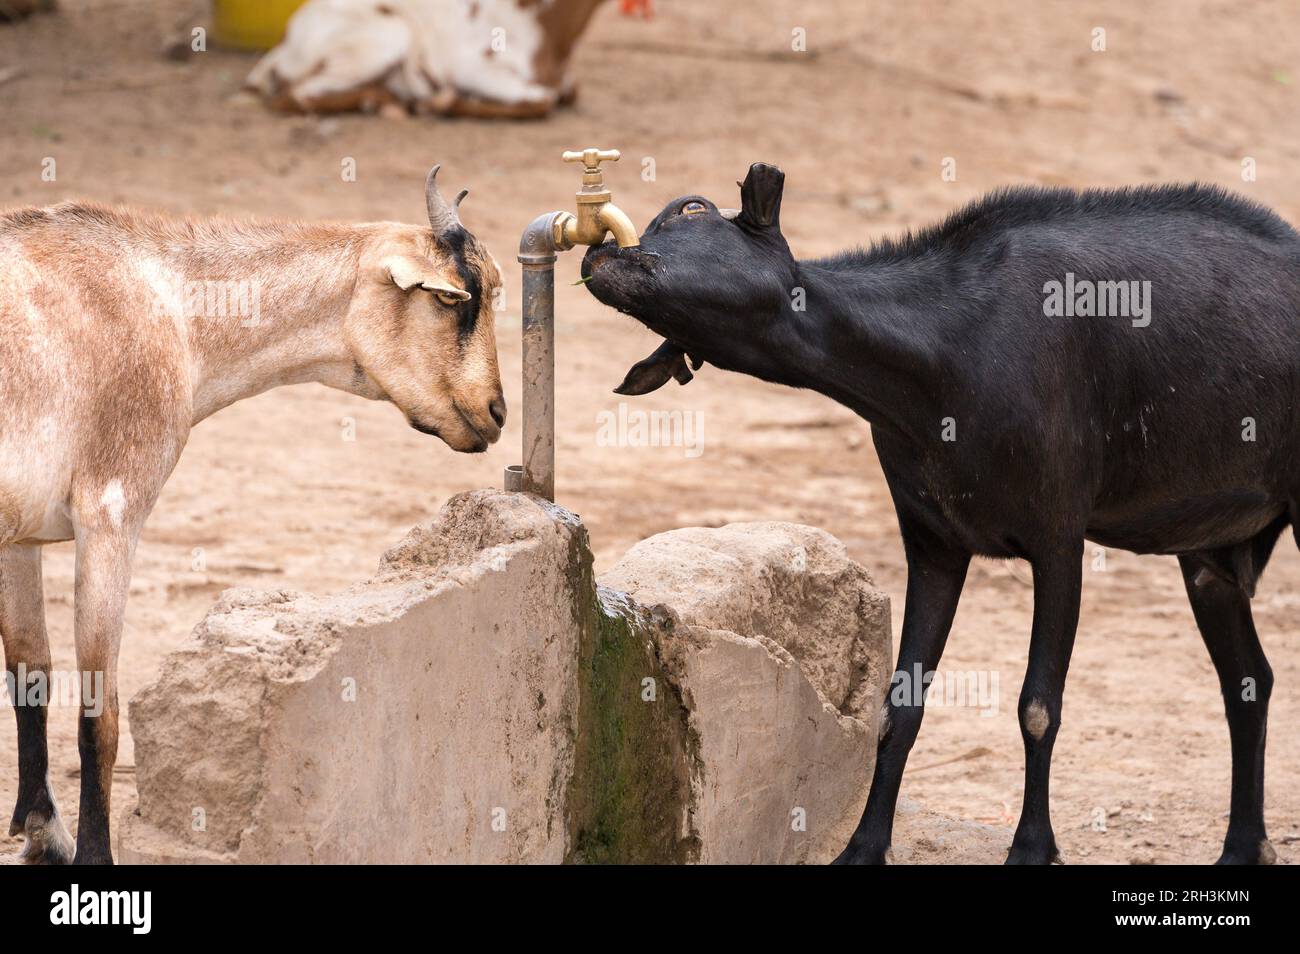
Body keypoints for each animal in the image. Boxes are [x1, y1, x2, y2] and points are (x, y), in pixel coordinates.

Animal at [585, 162, 1294, 868]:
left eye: (692, 210)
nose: (598, 254)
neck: (945, 356)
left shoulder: (1059, 538)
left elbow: (1039, 705)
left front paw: (1032, 849)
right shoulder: (933, 543)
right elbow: (899, 706)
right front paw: (863, 847)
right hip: (1207, 551)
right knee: (1248, 681)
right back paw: (1241, 846)